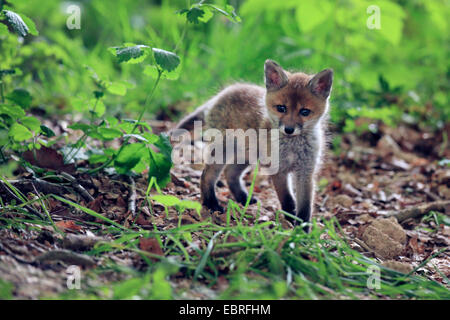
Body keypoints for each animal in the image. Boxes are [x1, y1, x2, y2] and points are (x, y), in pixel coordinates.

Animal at [172, 60, 330, 230]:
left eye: (305, 112)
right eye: (281, 108)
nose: (289, 129)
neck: (293, 146)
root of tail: (219, 96)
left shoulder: (306, 172)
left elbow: (305, 207)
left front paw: (302, 230)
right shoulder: (278, 170)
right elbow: (287, 200)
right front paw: (291, 221)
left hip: (246, 155)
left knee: (230, 173)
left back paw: (242, 198)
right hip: (223, 152)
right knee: (207, 176)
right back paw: (211, 204)